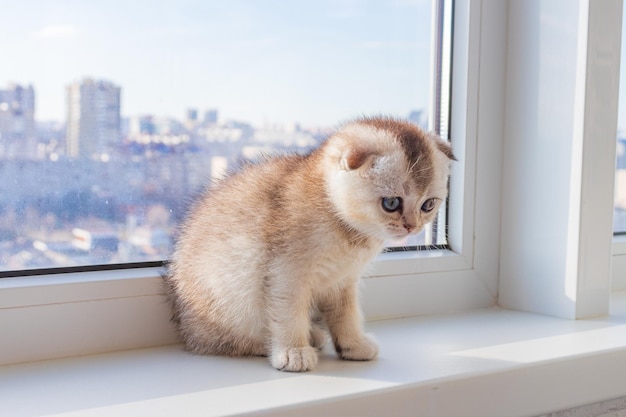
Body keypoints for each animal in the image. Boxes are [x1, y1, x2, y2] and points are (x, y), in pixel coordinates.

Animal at [163, 116, 450, 370]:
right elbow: (288, 313)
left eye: (428, 205)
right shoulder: (286, 273)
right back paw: (273, 343)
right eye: (391, 203)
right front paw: (294, 352)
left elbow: (346, 314)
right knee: (227, 341)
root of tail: (187, 330)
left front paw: (353, 345)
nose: (412, 226)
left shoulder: (342, 280)